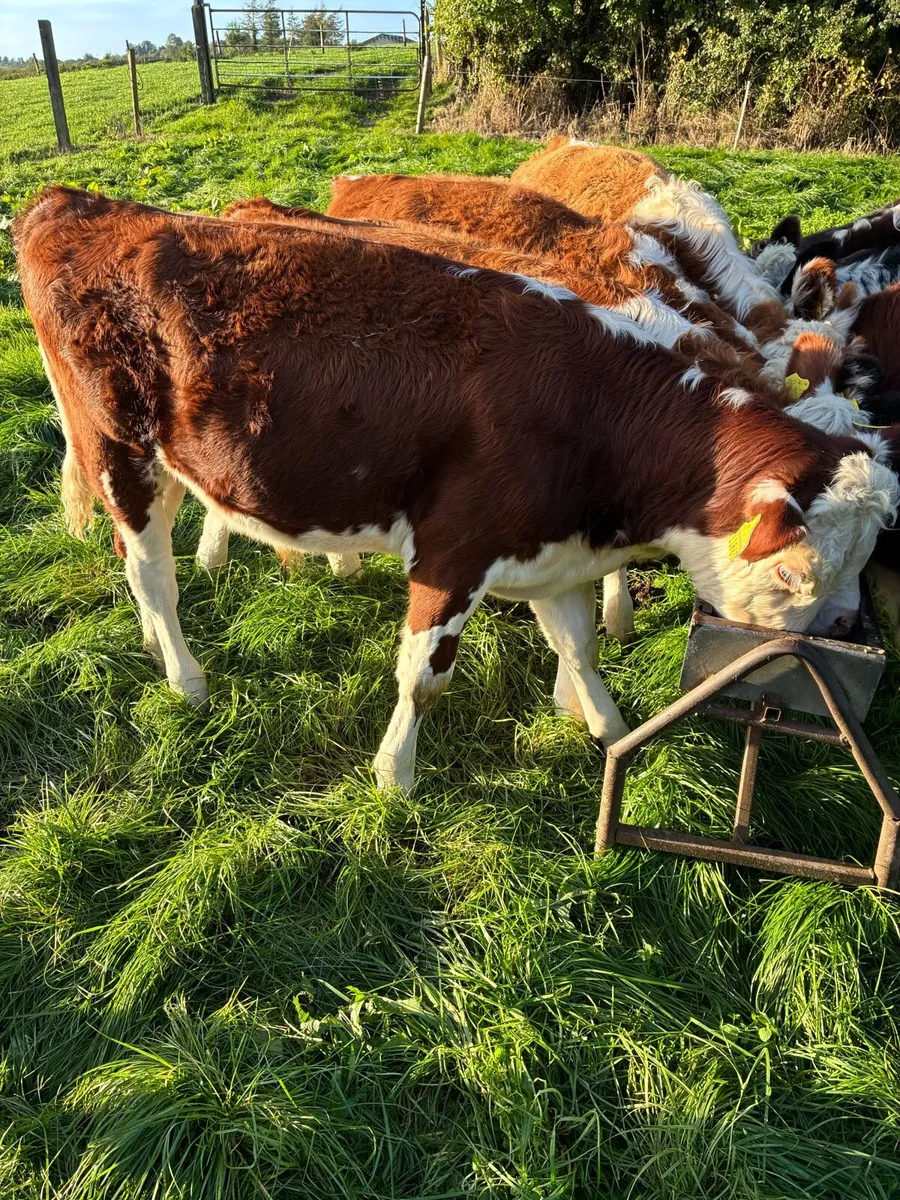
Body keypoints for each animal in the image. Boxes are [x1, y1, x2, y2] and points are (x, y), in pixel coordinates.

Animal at [15, 187, 898, 792]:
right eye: (799, 572)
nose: (847, 624)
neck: (596, 402)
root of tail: (82, 204)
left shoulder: (552, 552)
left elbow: (579, 648)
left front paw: (608, 732)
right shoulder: (453, 551)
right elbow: (423, 676)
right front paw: (394, 777)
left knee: (140, 562)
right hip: (119, 451)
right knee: (150, 574)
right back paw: (184, 677)